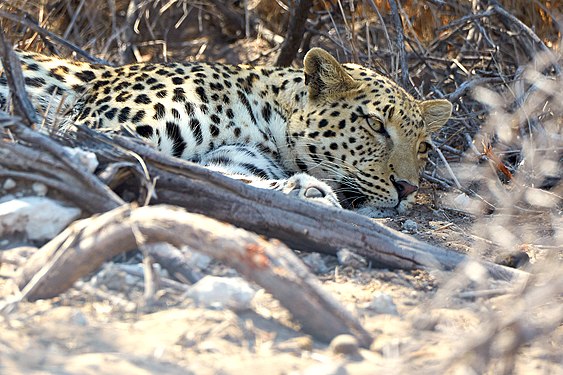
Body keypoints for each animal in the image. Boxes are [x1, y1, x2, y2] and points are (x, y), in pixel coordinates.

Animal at [0, 47, 454, 217]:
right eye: (375, 125)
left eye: (423, 147)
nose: (408, 189)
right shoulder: (100, 128)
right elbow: (154, 171)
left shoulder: (233, 160)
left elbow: (221, 181)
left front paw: (306, 192)